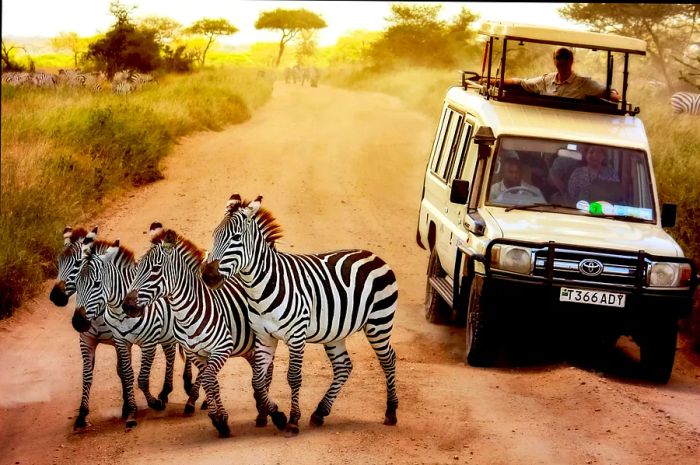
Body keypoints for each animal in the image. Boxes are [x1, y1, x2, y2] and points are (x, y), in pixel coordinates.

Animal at [74, 234, 205, 418]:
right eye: (76, 284)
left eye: (97, 284)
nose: (78, 322)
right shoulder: (116, 342)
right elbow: (121, 374)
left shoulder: (148, 343)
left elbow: (141, 379)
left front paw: (152, 404)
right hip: (169, 334)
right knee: (172, 354)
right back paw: (168, 391)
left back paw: (191, 397)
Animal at [123, 224, 284, 436]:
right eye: (137, 268)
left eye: (155, 269)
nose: (127, 306)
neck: (187, 314)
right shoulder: (196, 354)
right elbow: (212, 382)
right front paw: (220, 419)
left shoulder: (221, 349)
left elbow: (208, 379)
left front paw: (219, 419)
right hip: (248, 347)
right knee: (260, 370)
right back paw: (261, 408)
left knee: (268, 371)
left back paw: (265, 413)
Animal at [202, 193, 400, 436]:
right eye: (214, 235)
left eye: (236, 238)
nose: (208, 276)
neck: (261, 287)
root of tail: (373, 255)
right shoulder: (264, 337)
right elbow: (257, 381)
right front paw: (277, 415)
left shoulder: (296, 335)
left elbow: (293, 377)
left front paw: (293, 420)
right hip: (336, 333)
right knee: (344, 366)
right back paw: (320, 412)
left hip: (379, 323)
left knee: (388, 360)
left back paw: (391, 412)